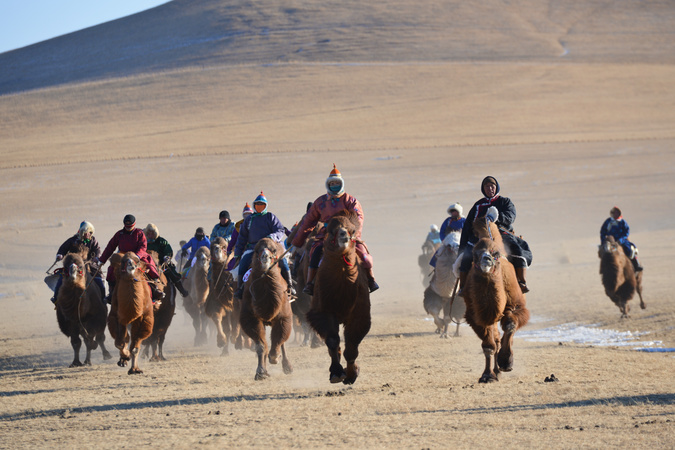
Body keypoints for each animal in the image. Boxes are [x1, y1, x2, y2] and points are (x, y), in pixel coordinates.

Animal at [239, 237, 294, 382]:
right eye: (256, 250)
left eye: (273, 250)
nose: (265, 256)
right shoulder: (250, 318)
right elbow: (261, 345)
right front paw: (261, 372)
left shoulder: (283, 317)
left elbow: (279, 340)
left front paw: (275, 358)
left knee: (282, 342)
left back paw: (287, 366)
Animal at [304, 210, 370, 384]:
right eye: (331, 230)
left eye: (352, 230)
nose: (344, 235)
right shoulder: (323, 311)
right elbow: (333, 341)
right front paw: (336, 373)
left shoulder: (359, 313)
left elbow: (352, 344)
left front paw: (352, 374)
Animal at [462, 214, 532, 384]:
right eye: (474, 254)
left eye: (496, 254)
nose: (486, 260)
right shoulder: (476, 315)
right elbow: (489, 345)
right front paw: (487, 375)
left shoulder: (517, 306)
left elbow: (510, 326)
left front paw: (506, 361)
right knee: (496, 339)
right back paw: (496, 371)